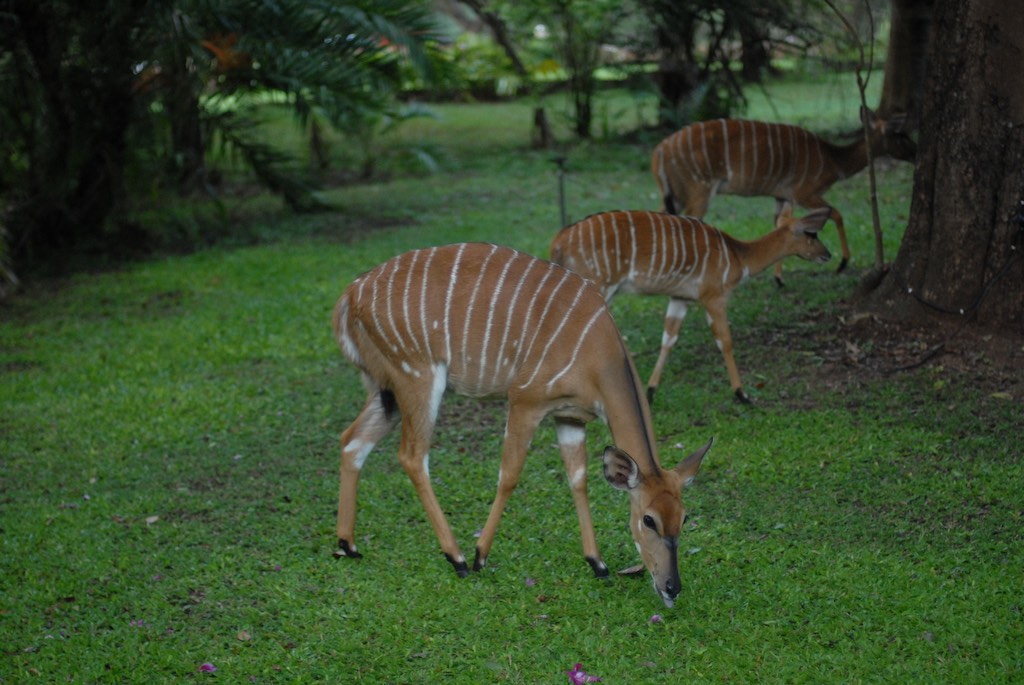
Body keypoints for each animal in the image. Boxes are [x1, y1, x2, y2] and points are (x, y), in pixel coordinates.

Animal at [333, 242, 712, 606]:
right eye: (648, 519)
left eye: (684, 517)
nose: (671, 587)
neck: (597, 353)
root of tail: (349, 296)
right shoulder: (525, 400)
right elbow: (509, 475)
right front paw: (480, 556)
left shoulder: (568, 417)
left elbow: (578, 480)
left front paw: (598, 563)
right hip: (417, 378)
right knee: (412, 456)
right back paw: (456, 557)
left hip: (387, 389)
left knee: (352, 440)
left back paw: (347, 544)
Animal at [552, 205, 831, 403]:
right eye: (812, 234)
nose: (828, 255)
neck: (738, 257)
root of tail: (559, 240)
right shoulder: (714, 296)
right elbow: (725, 341)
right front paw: (742, 394)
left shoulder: (681, 298)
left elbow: (668, 339)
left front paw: (650, 391)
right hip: (599, 286)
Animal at [651, 106, 917, 278]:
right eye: (899, 134)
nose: (916, 151)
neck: (833, 161)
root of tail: (660, 151)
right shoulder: (803, 192)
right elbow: (836, 213)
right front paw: (843, 263)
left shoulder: (781, 196)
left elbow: (778, 222)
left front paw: (779, 279)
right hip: (699, 190)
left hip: (675, 194)